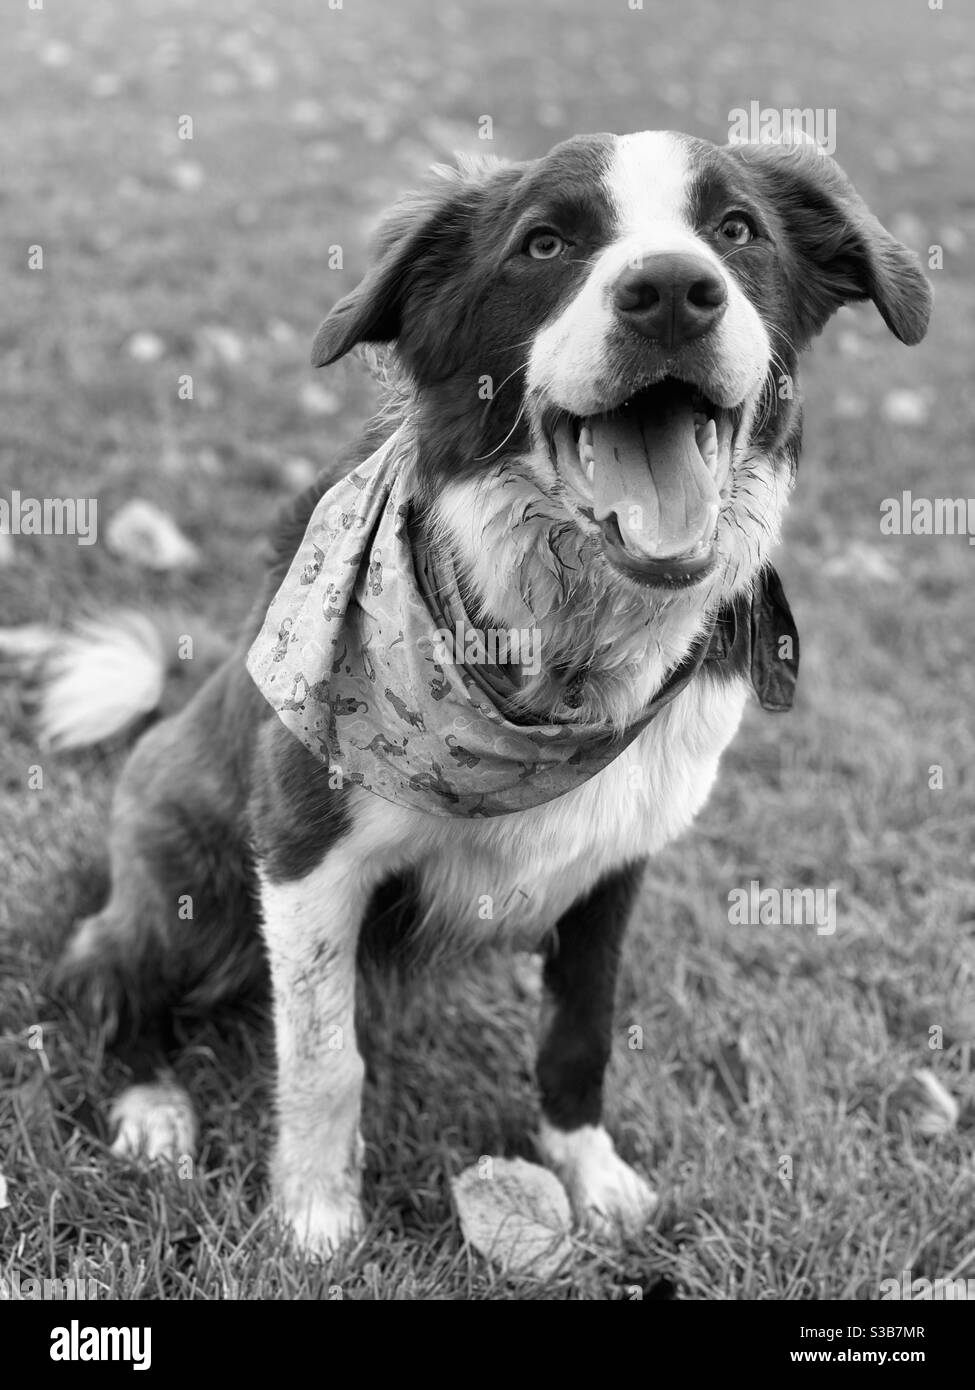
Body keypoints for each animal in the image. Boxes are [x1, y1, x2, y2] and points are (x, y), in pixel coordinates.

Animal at [45, 132, 929, 1262]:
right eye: (544, 243)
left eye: (737, 231)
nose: (673, 292)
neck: (562, 661)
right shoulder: (300, 851)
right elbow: (326, 1058)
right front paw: (316, 1217)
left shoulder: (617, 860)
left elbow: (580, 1033)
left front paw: (586, 1173)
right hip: (187, 888)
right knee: (102, 975)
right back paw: (152, 1107)